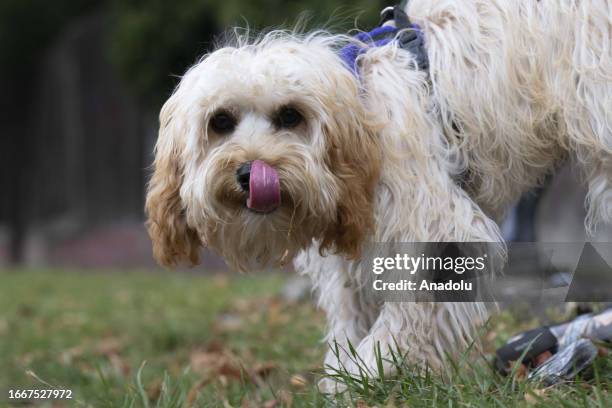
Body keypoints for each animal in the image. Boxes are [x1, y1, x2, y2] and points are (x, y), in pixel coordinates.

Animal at [145, 0, 612, 394]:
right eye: (221, 121)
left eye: (290, 116)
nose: (249, 172)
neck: (363, 123)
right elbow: (354, 312)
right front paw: (346, 372)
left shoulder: (439, 232)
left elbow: (406, 316)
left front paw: (370, 371)